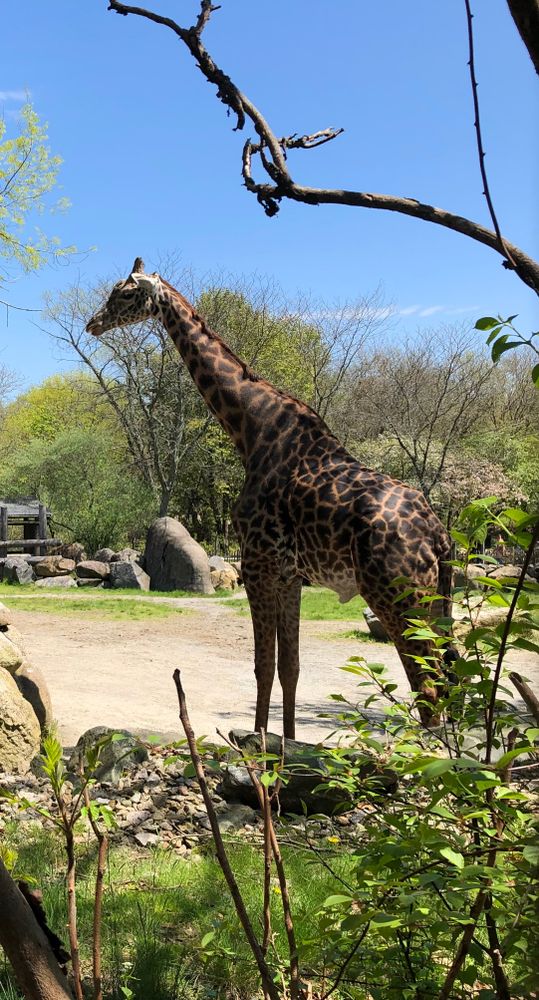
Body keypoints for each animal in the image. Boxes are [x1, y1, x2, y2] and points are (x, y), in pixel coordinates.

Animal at [87, 259, 453, 738]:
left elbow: (263, 666)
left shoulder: (256, 564)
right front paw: (288, 743)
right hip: (436, 600)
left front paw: (259, 741)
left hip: (397, 594)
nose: (93, 324)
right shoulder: (290, 576)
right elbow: (289, 668)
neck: (250, 429)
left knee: (428, 687)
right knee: (451, 682)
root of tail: (438, 535)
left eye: (125, 294)